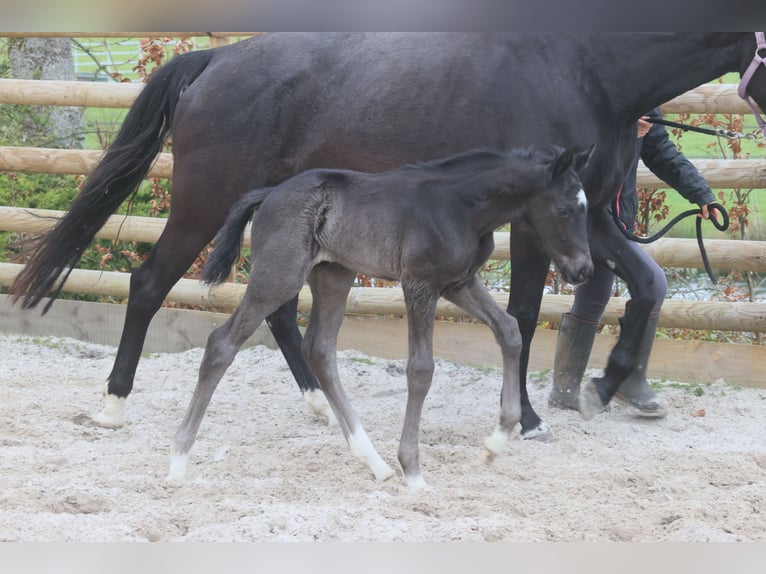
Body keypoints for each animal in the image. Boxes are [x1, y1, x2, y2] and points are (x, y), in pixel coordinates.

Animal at [10, 35, 766, 440]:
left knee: (276, 309)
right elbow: (523, 315)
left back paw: (318, 403)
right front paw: (526, 418)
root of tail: (216, 60)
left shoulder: (591, 216)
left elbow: (649, 283)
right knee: (148, 282)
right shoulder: (540, 220)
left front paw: (615, 383)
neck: (587, 68)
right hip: (205, 205)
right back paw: (113, 404)